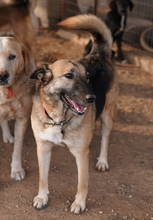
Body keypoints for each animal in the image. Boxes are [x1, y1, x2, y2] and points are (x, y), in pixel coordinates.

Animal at [29, 14, 118, 214]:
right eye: (69, 76)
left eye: (87, 76)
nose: (92, 98)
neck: (59, 119)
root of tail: (98, 54)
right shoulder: (43, 148)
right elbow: (42, 178)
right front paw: (42, 197)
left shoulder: (81, 154)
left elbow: (82, 183)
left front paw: (79, 203)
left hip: (107, 115)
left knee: (106, 138)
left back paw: (102, 161)